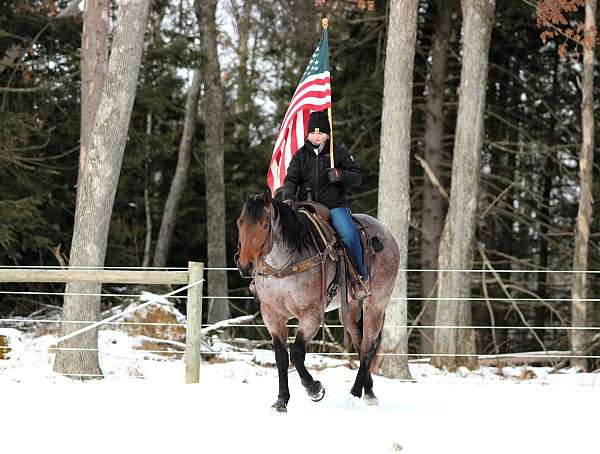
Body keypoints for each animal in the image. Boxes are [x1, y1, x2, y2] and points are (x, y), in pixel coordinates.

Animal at [237, 190, 400, 414]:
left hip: (375, 305)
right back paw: (369, 392)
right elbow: (281, 357)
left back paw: (354, 394)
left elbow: (297, 354)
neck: (284, 267)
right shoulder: (272, 315)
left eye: (264, 225)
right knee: (360, 344)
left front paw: (315, 389)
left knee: (368, 346)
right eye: (239, 223)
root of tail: (388, 235)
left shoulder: (311, 314)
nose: (245, 266)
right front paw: (281, 402)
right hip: (350, 311)